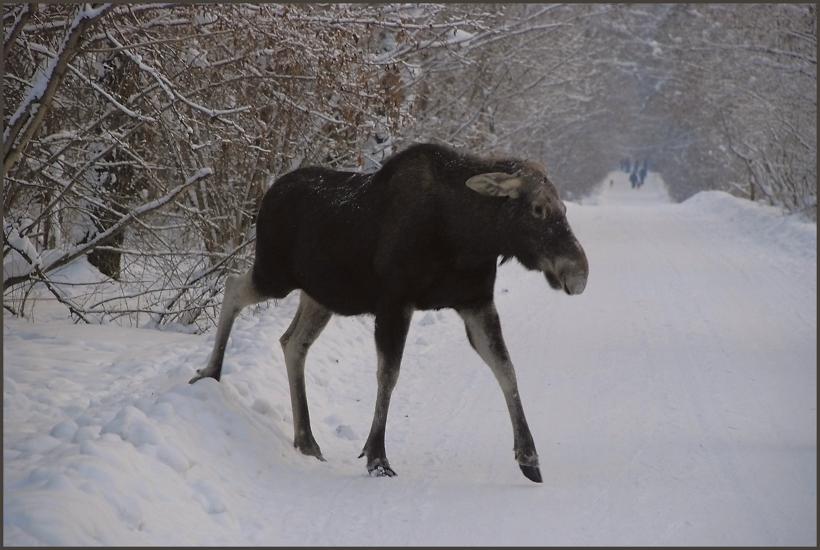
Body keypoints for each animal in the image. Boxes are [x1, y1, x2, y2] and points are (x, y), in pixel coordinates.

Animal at [191, 142, 588, 484]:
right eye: (537, 208)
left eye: (564, 209)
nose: (579, 273)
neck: (467, 237)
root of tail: (269, 193)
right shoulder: (396, 302)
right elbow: (388, 375)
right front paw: (377, 457)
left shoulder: (475, 302)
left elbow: (506, 369)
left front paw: (529, 457)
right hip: (275, 274)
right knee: (233, 287)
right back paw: (211, 371)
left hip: (320, 297)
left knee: (292, 342)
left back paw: (306, 438)